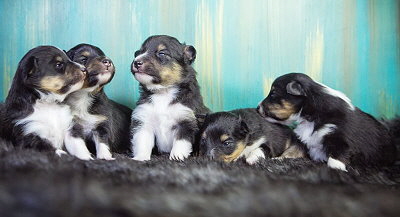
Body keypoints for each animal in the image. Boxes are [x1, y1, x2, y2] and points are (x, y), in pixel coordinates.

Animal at [258, 72, 396, 171]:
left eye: (273, 93)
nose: (257, 107)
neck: (312, 115)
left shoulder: (340, 140)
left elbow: (335, 159)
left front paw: (335, 170)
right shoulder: (303, 141)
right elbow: (291, 152)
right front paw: (277, 159)